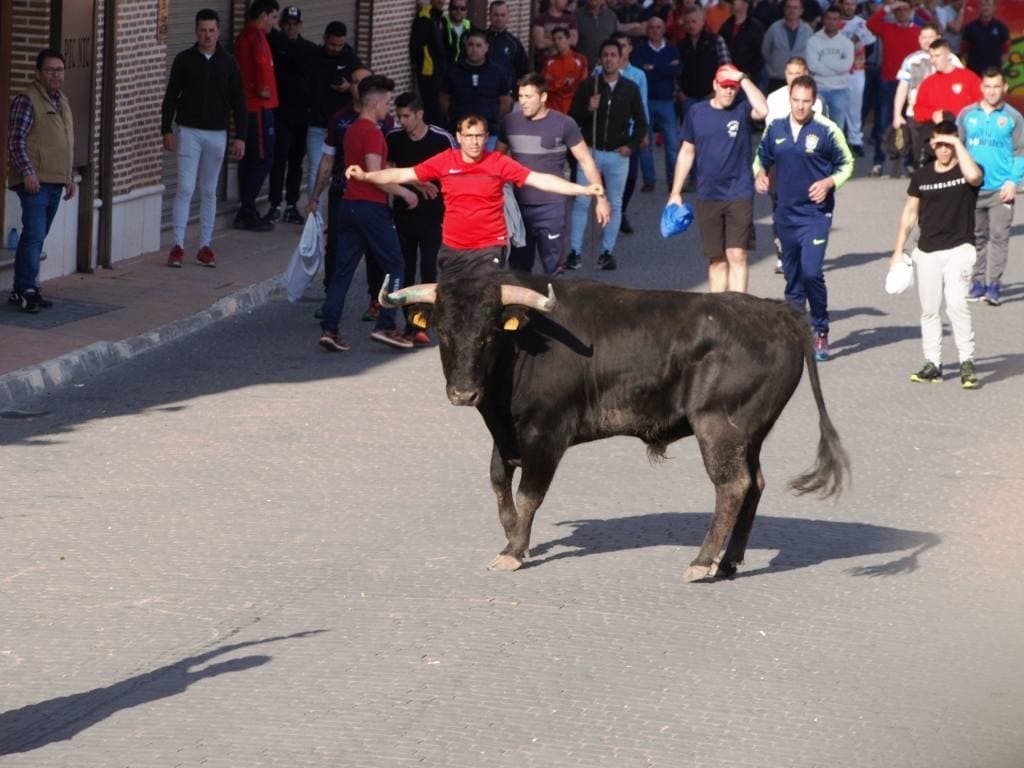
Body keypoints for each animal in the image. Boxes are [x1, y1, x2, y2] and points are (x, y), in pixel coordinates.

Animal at [382, 274, 847, 581]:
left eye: (489, 334)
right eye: (443, 331)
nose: (463, 393)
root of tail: (776, 312)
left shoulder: (546, 433)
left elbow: (529, 494)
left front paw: (513, 551)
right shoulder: (507, 433)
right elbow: (499, 485)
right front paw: (516, 539)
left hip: (718, 425)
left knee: (732, 485)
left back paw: (702, 562)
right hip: (751, 432)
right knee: (754, 483)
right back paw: (729, 560)